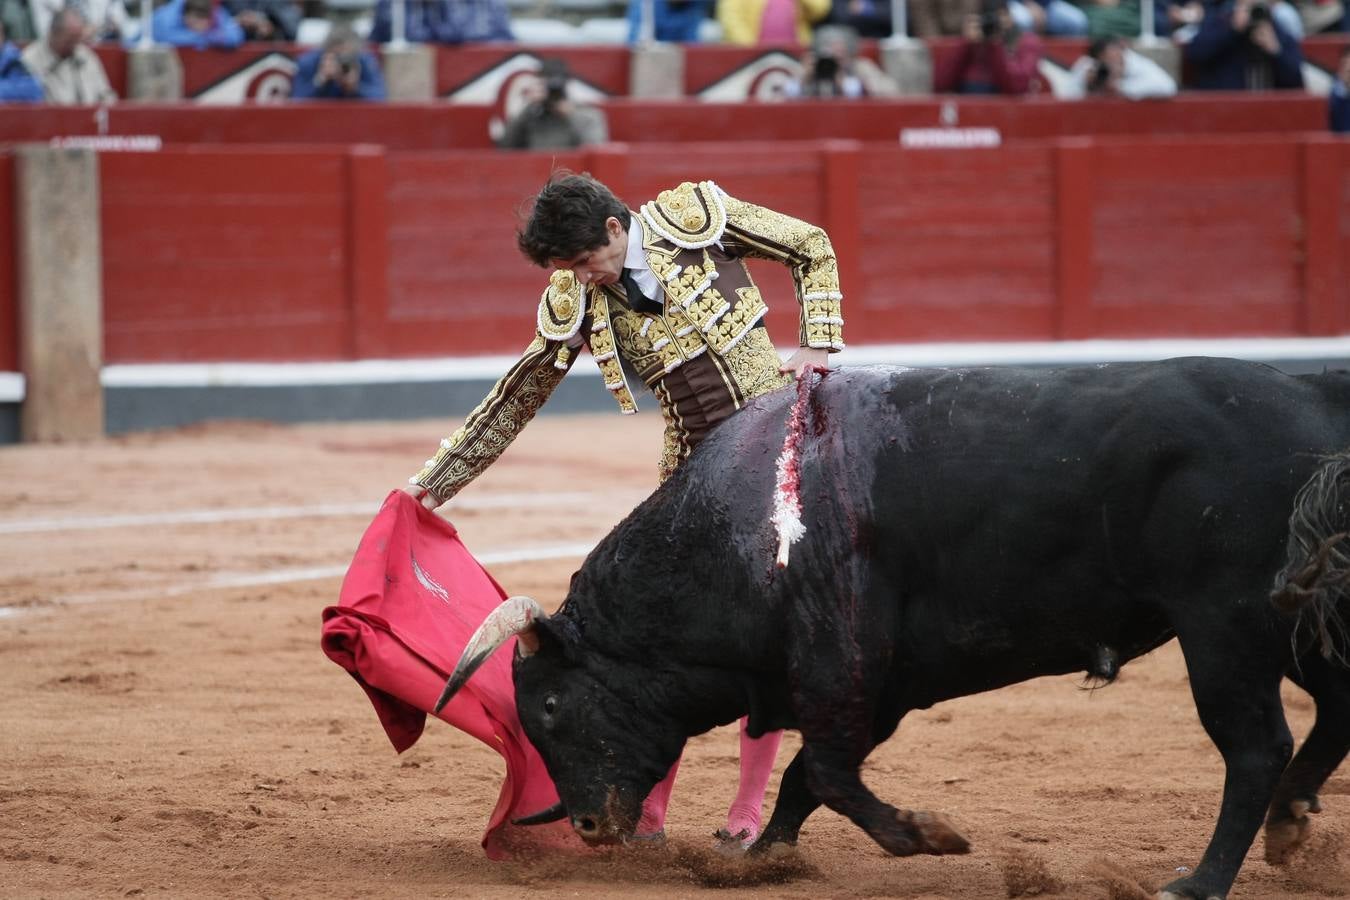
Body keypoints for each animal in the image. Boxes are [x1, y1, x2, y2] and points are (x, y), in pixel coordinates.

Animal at [437, 361, 1344, 900]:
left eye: (550, 708)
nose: (590, 827)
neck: (741, 528)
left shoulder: (843, 666)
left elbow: (828, 773)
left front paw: (925, 835)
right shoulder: (880, 685)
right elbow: (807, 776)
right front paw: (764, 858)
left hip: (1223, 625)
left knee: (1254, 746)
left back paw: (1200, 880)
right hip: (1300, 620)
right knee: (1332, 713)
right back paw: (1290, 826)